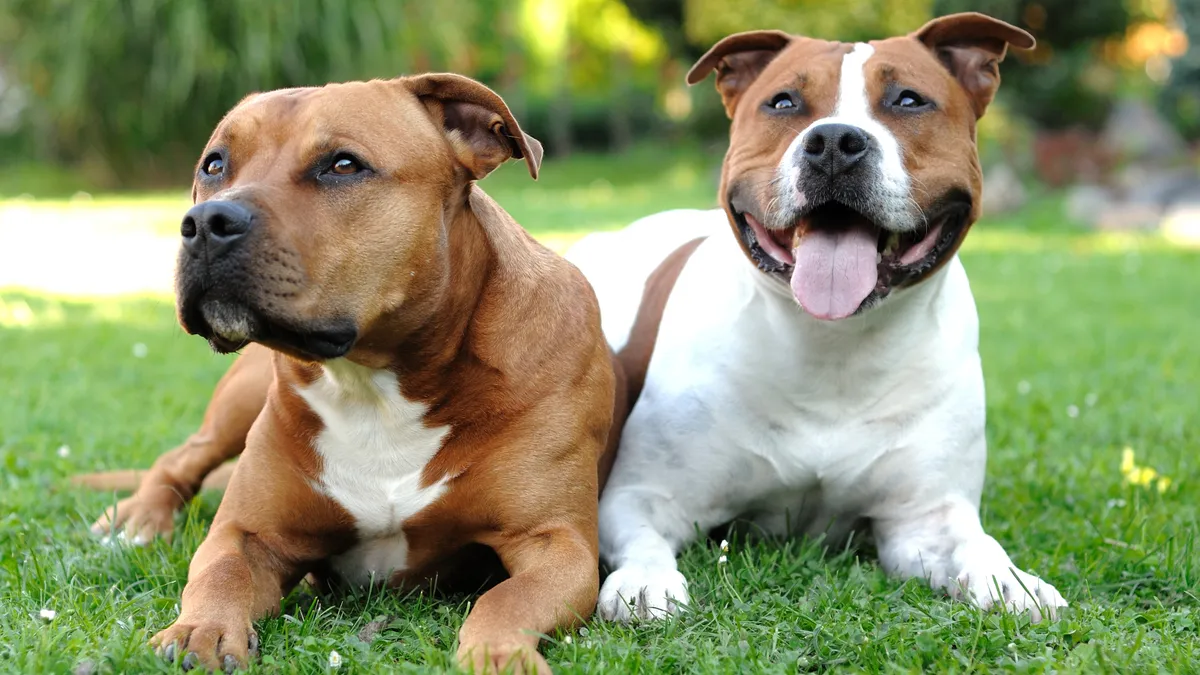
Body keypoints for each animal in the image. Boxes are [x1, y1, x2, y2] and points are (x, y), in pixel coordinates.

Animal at [79, 70, 619, 667]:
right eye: (214, 164)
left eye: (342, 164)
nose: (203, 221)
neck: (376, 384)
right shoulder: (247, 532)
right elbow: (219, 572)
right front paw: (200, 629)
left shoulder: (557, 544)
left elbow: (505, 599)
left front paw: (498, 654)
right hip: (239, 401)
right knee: (181, 458)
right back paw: (140, 518)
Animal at [566, 11, 1075, 619]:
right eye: (784, 102)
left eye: (909, 100)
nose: (834, 142)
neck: (832, 344)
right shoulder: (641, 496)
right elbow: (642, 539)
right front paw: (645, 581)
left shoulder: (923, 517)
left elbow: (977, 543)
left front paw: (1011, 580)